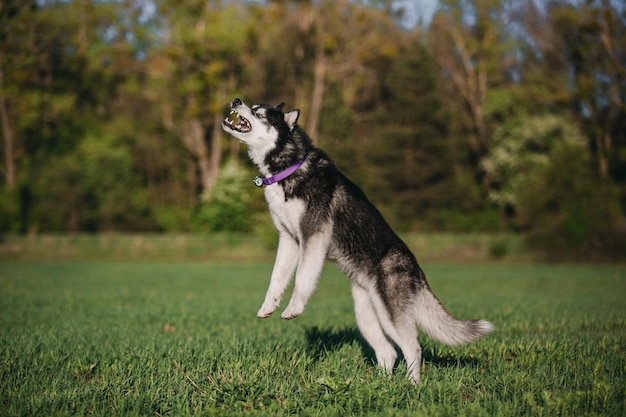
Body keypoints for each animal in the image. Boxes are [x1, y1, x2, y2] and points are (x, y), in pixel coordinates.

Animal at [222, 98, 490, 384]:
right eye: (253, 106)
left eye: (259, 113)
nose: (236, 100)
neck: (289, 168)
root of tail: (417, 269)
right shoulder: (289, 240)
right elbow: (277, 279)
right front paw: (267, 306)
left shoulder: (313, 236)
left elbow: (303, 279)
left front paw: (294, 308)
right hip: (366, 314)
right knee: (389, 353)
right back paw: (379, 384)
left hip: (390, 314)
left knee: (412, 347)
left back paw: (412, 386)